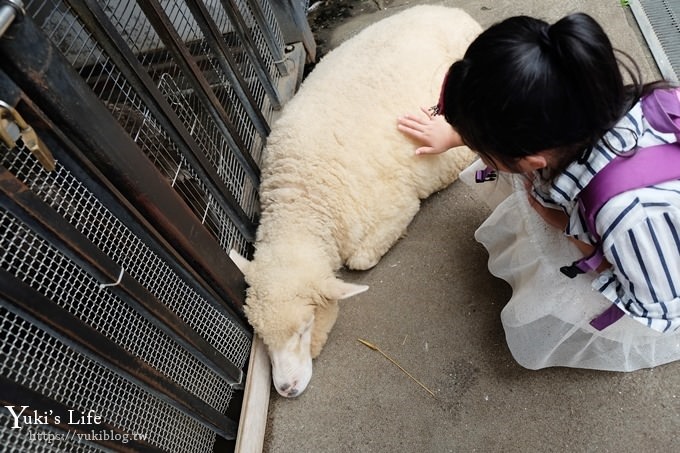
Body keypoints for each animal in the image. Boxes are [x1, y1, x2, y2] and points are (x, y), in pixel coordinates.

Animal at [231, 6, 480, 396]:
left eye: (304, 328)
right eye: (260, 333)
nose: (285, 389)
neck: (302, 199)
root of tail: (450, 10)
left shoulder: (397, 205)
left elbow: (361, 260)